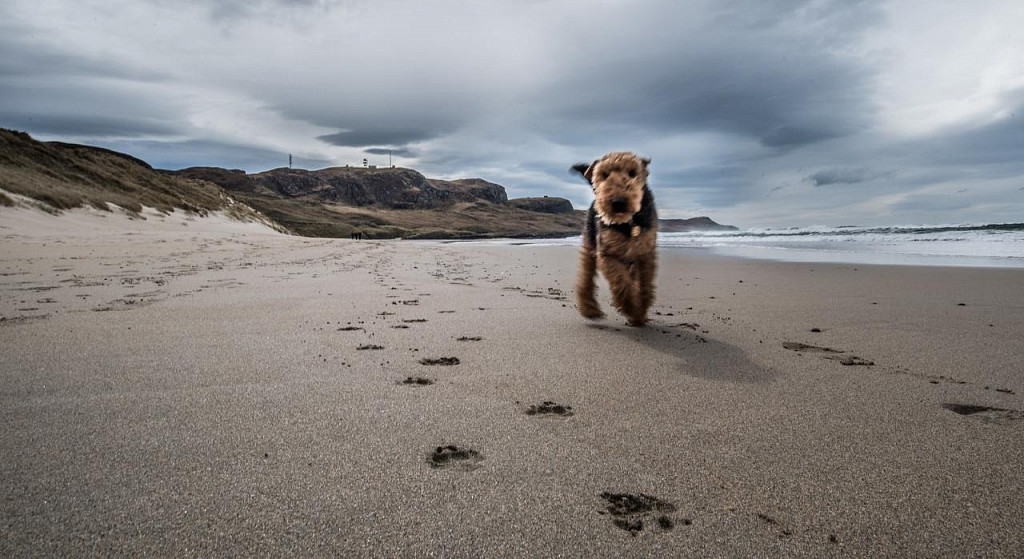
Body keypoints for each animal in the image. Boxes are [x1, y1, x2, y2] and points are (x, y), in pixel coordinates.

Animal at [573, 152, 659, 325]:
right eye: (604, 174)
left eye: (632, 172)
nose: (618, 202)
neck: (629, 223)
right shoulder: (608, 254)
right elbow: (622, 284)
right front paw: (633, 311)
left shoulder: (645, 254)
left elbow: (644, 285)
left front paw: (640, 312)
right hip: (590, 245)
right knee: (586, 276)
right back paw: (589, 308)